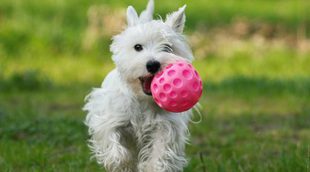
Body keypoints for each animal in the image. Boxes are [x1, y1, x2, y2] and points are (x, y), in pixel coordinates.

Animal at [83, 0, 195, 171]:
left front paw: (152, 166)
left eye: (167, 47)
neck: (142, 100)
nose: (153, 65)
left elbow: (160, 152)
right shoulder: (109, 118)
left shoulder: (165, 126)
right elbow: (112, 142)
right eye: (137, 47)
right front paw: (123, 163)